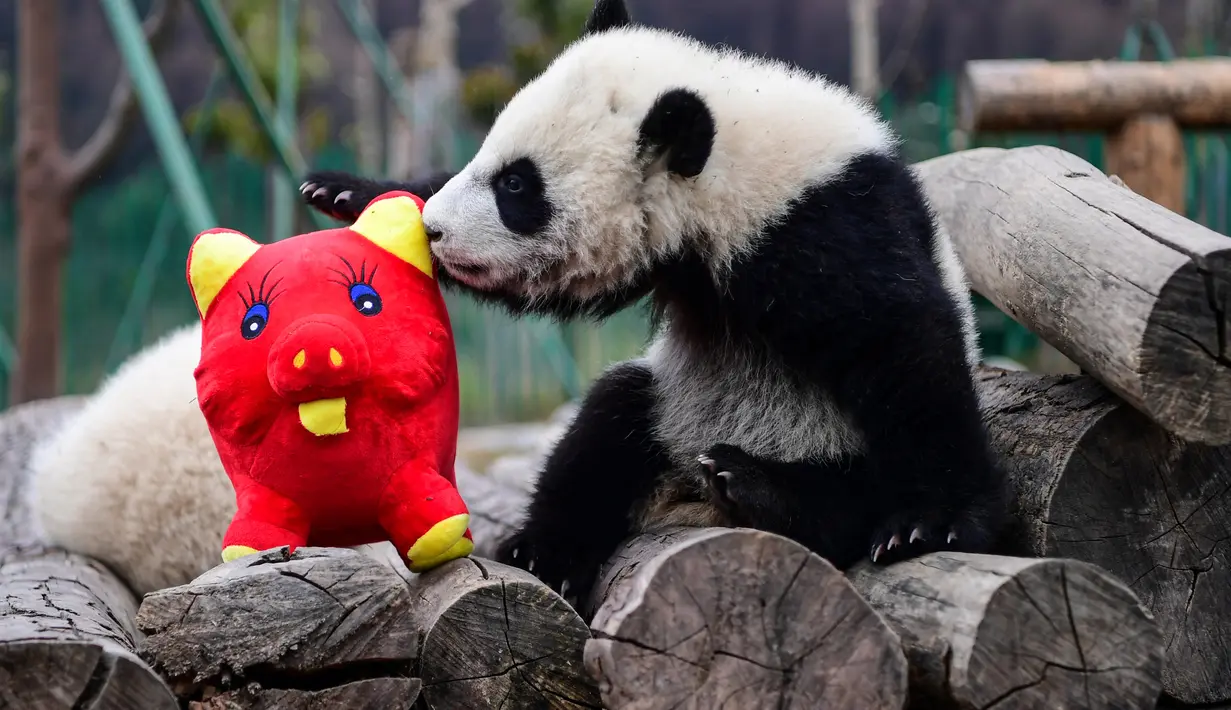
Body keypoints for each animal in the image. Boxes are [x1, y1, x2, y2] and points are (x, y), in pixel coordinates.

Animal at [298, 0, 1007, 607]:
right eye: (488, 157)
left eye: (517, 186)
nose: (436, 231)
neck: (730, 155)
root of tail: (683, 488)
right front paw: (350, 194)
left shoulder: (821, 219)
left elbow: (899, 339)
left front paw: (935, 520)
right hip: (671, 405)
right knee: (606, 427)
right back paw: (547, 550)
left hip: (816, 435)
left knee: (842, 501)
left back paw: (757, 486)